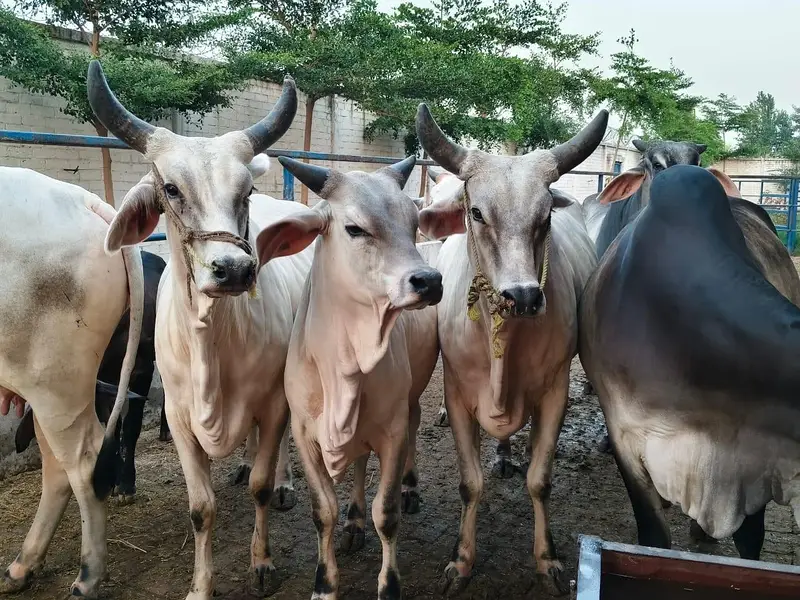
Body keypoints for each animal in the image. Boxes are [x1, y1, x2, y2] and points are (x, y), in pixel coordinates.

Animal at [0, 166, 143, 598]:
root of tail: (83, 199)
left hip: (53, 383)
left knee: (82, 464)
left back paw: (87, 576)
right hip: (50, 388)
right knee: (57, 467)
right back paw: (22, 566)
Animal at [84, 60, 309, 599]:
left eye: (245, 192)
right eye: (171, 189)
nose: (233, 269)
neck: (212, 343)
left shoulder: (273, 401)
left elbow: (261, 488)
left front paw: (262, 561)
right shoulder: (180, 417)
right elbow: (201, 509)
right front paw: (201, 586)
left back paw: (285, 481)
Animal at [255, 155, 442, 600]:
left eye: (413, 222)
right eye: (354, 228)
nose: (428, 281)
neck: (344, 369)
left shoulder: (392, 432)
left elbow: (386, 513)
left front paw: (390, 585)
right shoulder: (305, 434)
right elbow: (323, 511)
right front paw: (325, 583)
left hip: (411, 401)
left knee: (412, 428)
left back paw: (409, 489)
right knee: (358, 464)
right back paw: (354, 523)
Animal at [415, 104, 606, 595]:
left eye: (545, 216)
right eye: (477, 213)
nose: (522, 296)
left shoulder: (556, 393)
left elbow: (540, 481)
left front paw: (548, 558)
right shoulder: (458, 395)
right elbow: (470, 484)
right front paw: (461, 560)